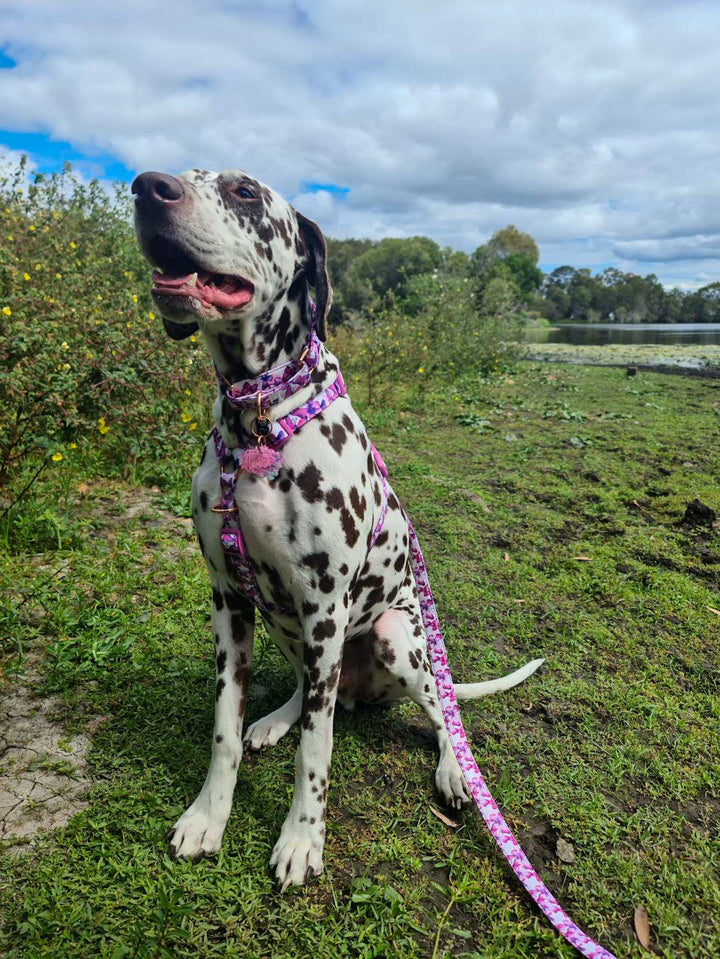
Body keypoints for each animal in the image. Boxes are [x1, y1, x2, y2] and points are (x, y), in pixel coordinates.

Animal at [132, 167, 544, 892]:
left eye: (243, 191)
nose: (146, 187)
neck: (259, 421)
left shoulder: (326, 604)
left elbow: (316, 750)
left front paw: (302, 838)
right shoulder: (229, 601)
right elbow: (225, 728)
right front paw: (210, 815)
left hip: (395, 638)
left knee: (440, 713)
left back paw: (451, 770)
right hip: (288, 629)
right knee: (308, 693)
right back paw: (276, 719)